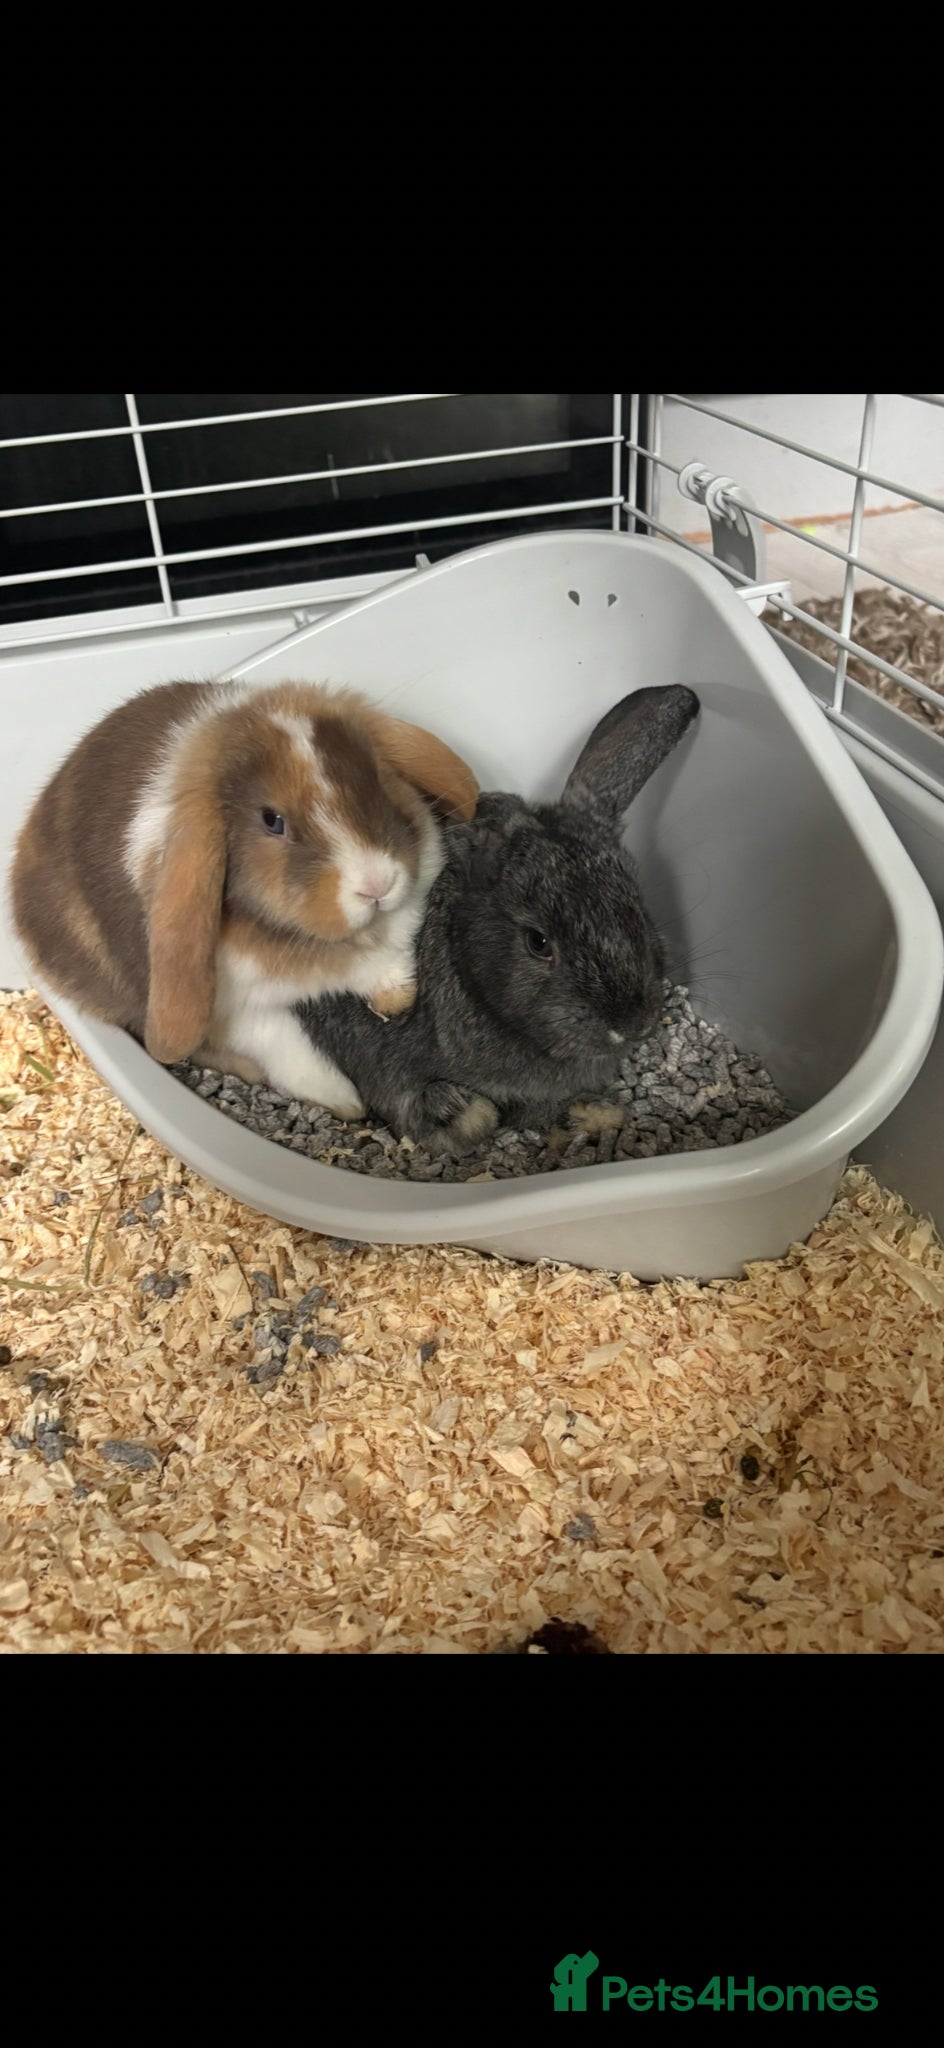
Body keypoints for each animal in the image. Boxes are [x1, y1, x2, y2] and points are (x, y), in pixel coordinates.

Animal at [10, 678, 479, 1118]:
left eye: (376, 779)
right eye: (272, 820)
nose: (378, 883)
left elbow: (389, 964)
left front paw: (396, 1000)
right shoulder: (241, 1014)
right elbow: (289, 1048)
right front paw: (345, 1102)